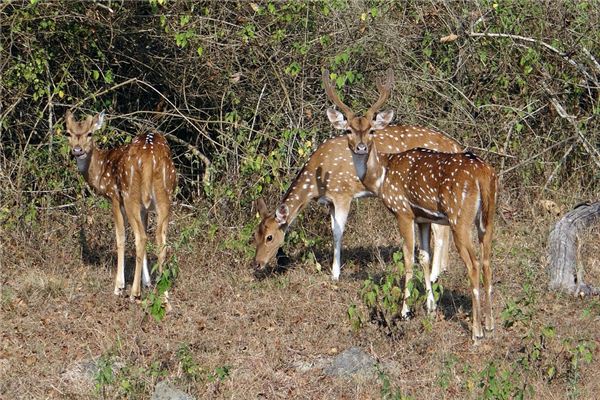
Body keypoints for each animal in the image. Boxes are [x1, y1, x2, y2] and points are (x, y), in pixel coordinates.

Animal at [67, 110, 178, 304]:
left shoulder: (114, 196)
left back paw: (134, 293)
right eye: (69, 133)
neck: (100, 172)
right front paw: (147, 282)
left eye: (90, 133)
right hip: (165, 194)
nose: (77, 150)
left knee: (140, 237)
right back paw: (163, 293)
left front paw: (119, 286)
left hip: (129, 195)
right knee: (160, 239)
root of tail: (150, 157)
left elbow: (120, 237)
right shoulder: (144, 208)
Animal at [251, 76, 462, 282]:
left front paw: (335, 274)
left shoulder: (343, 194)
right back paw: (441, 270)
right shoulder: (330, 201)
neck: (316, 182)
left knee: (440, 231)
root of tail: (454, 145)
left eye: (270, 237)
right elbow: (333, 229)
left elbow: (337, 232)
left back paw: (434, 275)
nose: (257, 264)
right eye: (255, 235)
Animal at [326, 69, 494, 340]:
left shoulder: (403, 211)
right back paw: (490, 324)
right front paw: (430, 306)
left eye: (371, 130)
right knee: (488, 261)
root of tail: (482, 173)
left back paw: (477, 332)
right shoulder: (423, 217)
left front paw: (404, 311)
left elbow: (407, 259)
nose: (361, 147)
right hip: (487, 218)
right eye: (349, 130)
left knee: (474, 264)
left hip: (460, 218)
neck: (381, 176)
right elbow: (424, 257)